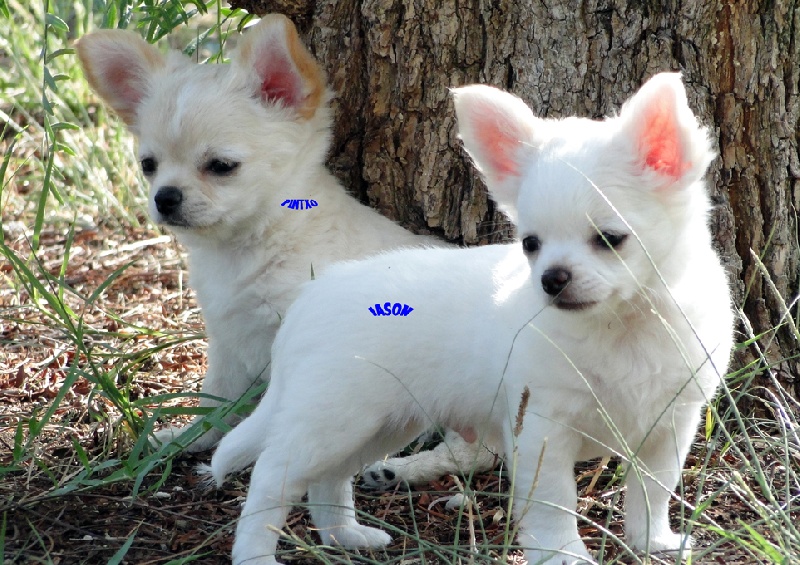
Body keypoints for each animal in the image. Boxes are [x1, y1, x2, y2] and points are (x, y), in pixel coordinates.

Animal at [76, 14, 448, 452]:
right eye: (148, 165)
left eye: (222, 166)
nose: (165, 197)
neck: (246, 248)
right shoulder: (227, 342)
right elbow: (215, 399)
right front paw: (189, 438)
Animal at [209, 72, 734, 564]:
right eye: (531, 244)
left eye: (609, 239)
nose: (552, 279)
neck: (625, 326)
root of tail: (311, 299)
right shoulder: (542, 428)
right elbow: (553, 505)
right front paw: (563, 555)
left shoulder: (669, 428)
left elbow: (653, 493)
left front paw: (652, 543)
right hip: (331, 419)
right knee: (270, 478)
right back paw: (256, 555)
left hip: (380, 423)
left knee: (329, 480)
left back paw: (346, 536)